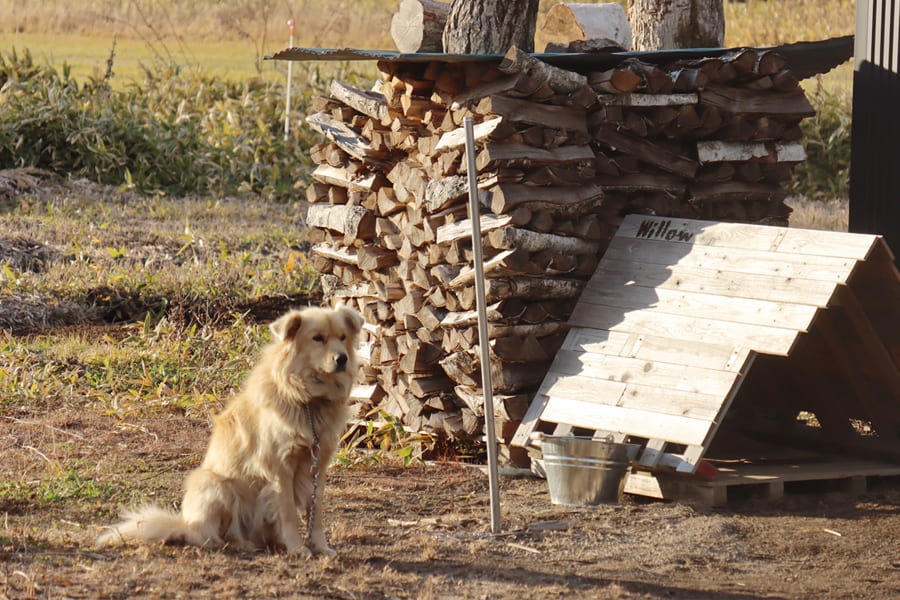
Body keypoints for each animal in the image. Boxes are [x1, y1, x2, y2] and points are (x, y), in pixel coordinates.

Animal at [96, 304, 364, 556]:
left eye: (342, 337)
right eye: (317, 338)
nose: (342, 359)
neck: (308, 399)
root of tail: (186, 524)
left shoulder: (318, 465)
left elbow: (315, 513)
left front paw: (320, 547)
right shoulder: (280, 468)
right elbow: (287, 512)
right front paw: (298, 548)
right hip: (216, 485)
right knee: (210, 537)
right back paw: (240, 544)